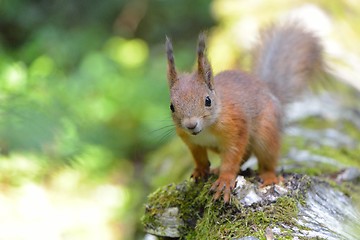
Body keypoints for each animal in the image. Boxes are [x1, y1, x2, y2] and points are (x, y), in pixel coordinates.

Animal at [165, 22, 324, 202]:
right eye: (172, 106)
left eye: (208, 101)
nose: (191, 125)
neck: (206, 129)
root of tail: (270, 92)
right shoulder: (191, 141)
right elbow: (199, 157)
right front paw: (200, 170)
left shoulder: (237, 128)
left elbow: (233, 157)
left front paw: (225, 180)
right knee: (246, 155)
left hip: (266, 133)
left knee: (266, 158)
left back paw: (269, 177)